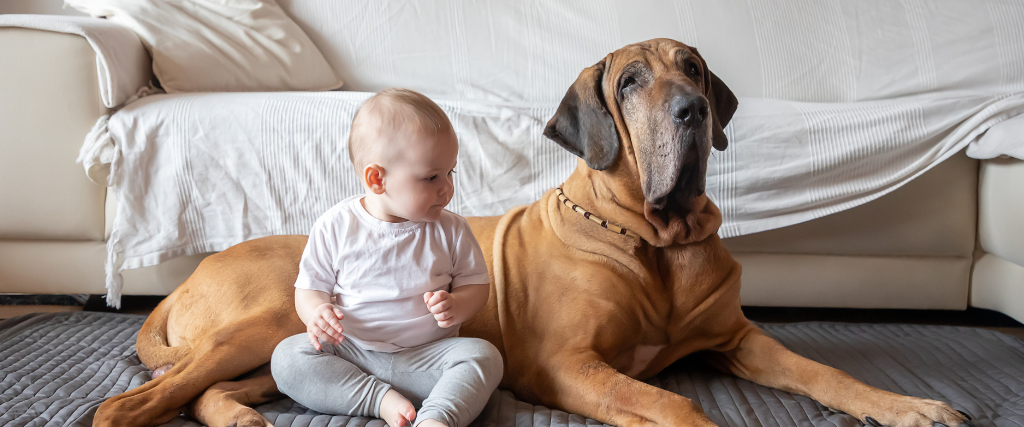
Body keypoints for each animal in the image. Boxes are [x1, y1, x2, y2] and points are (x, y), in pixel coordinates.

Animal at [92, 38, 970, 423]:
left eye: (692, 69)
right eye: (631, 81)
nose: (693, 110)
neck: (656, 240)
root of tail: (186, 281)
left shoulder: (738, 338)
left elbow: (824, 371)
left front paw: (910, 406)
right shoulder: (570, 363)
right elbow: (675, 405)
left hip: (272, 350)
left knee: (212, 390)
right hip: (272, 312)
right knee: (139, 398)